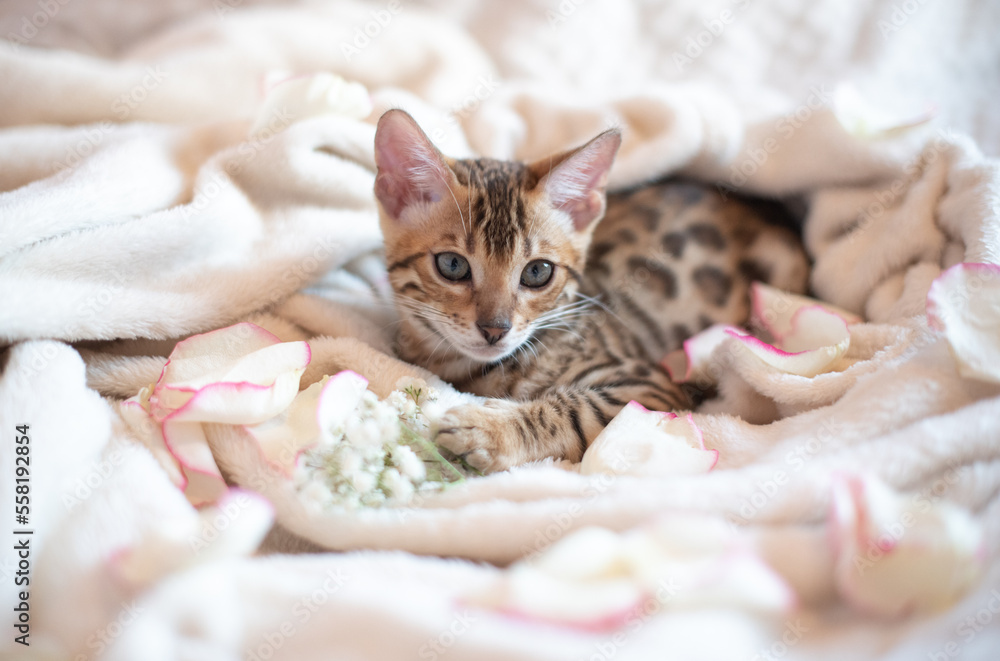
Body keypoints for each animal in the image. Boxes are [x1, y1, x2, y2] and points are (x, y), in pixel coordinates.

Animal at [372, 108, 808, 472]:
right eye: (452, 265)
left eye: (537, 272)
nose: (495, 329)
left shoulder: (649, 385)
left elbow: (578, 411)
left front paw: (491, 430)